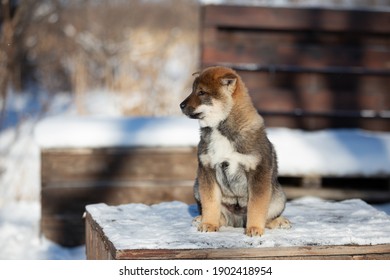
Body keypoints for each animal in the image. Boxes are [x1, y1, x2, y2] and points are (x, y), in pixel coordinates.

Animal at [180, 66, 290, 236]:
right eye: (193, 90)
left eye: (202, 92)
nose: (181, 105)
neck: (220, 128)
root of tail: (237, 221)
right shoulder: (207, 170)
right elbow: (210, 203)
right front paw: (209, 224)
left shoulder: (258, 172)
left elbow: (257, 206)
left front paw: (254, 229)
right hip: (197, 186)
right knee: (219, 215)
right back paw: (202, 219)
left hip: (278, 197)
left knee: (268, 217)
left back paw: (280, 222)